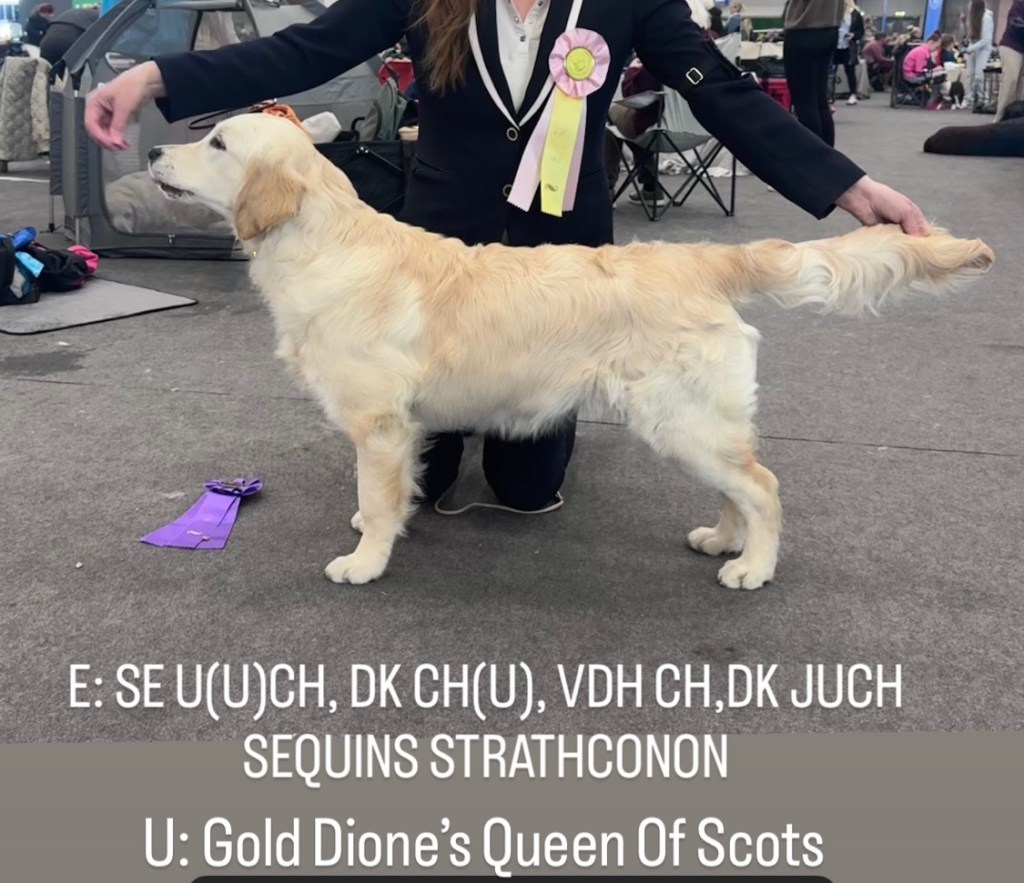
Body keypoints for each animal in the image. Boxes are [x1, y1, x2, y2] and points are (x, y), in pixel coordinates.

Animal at [148, 114, 994, 590]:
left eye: (215, 141)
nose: (154, 149)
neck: (322, 242)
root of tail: (698, 260)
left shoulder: (380, 424)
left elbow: (382, 499)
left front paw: (366, 560)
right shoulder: (397, 429)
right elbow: (383, 493)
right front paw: (368, 528)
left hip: (680, 417)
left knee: (765, 485)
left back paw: (752, 567)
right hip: (694, 423)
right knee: (740, 484)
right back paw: (722, 539)